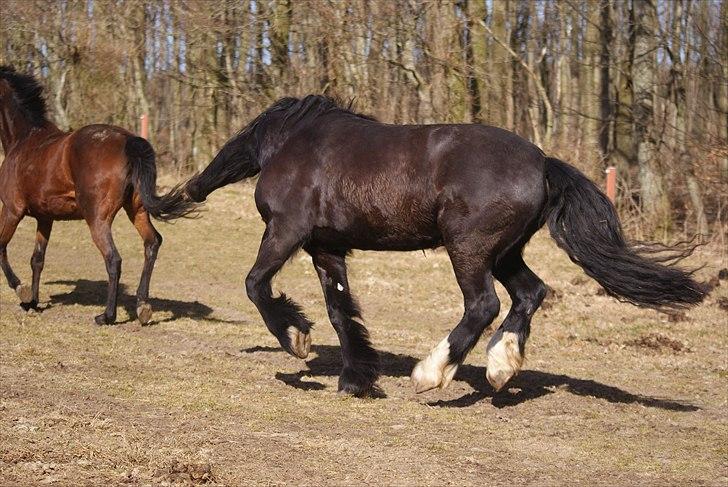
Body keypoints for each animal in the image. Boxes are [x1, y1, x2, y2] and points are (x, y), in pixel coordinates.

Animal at [0, 65, 196, 324]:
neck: (23, 139)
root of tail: (128, 140)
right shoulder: (45, 218)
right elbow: (37, 260)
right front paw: (31, 302)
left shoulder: (12, 210)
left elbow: (1, 247)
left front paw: (21, 291)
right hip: (136, 210)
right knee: (152, 242)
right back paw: (143, 307)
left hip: (97, 220)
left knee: (113, 259)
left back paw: (107, 316)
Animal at [185, 97, 704, 398]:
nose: (192, 189)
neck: (294, 147)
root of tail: (542, 162)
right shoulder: (327, 250)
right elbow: (340, 312)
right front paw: (357, 379)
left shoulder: (286, 231)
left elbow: (256, 285)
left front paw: (295, 339)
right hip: (504, 253)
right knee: (530, 293)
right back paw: (500, 368)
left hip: (469, 248)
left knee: (483, 304)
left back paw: (432, 373)